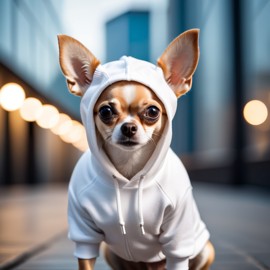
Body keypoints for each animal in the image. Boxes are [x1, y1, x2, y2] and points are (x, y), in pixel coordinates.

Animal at [58, 28, 214, 268]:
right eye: (106, 111)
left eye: (152, 111)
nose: (129, 127)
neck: (128, 175)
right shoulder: (84, 234)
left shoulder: (178, 238)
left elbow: (178, 255)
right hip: (110, 251)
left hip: (205, 249)